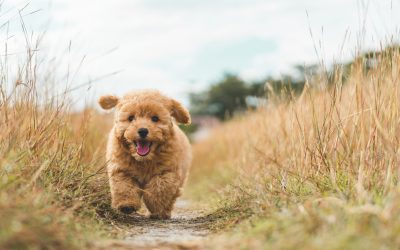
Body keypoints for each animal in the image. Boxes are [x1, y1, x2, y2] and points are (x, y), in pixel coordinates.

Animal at [99, 90, 192, 219]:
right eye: (131, 118)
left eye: (155, 118)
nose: (143, 131)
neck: (144, 159)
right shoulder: (121, 169)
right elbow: (123, 186)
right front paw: (126, 205)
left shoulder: (168, 171)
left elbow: (159, 187)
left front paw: (155, 204)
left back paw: (162, 213)